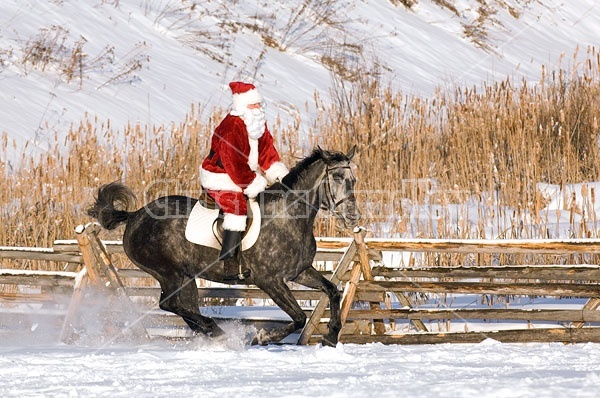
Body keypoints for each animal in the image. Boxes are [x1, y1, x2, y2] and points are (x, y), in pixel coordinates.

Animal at [88, 147, 360, 346]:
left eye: (353, 180)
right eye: (337, 177)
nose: (353, 217)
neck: (288, 217)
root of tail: (136, 215)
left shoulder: (299, 272)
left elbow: (333, 291)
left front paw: (331, 335)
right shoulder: (269, 280)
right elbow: (299, 317)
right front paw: (263, 337)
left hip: (186, 277)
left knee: (184, 307)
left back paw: (211, 333)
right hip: (168, 273)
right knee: (169, 304)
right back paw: (216, 330)